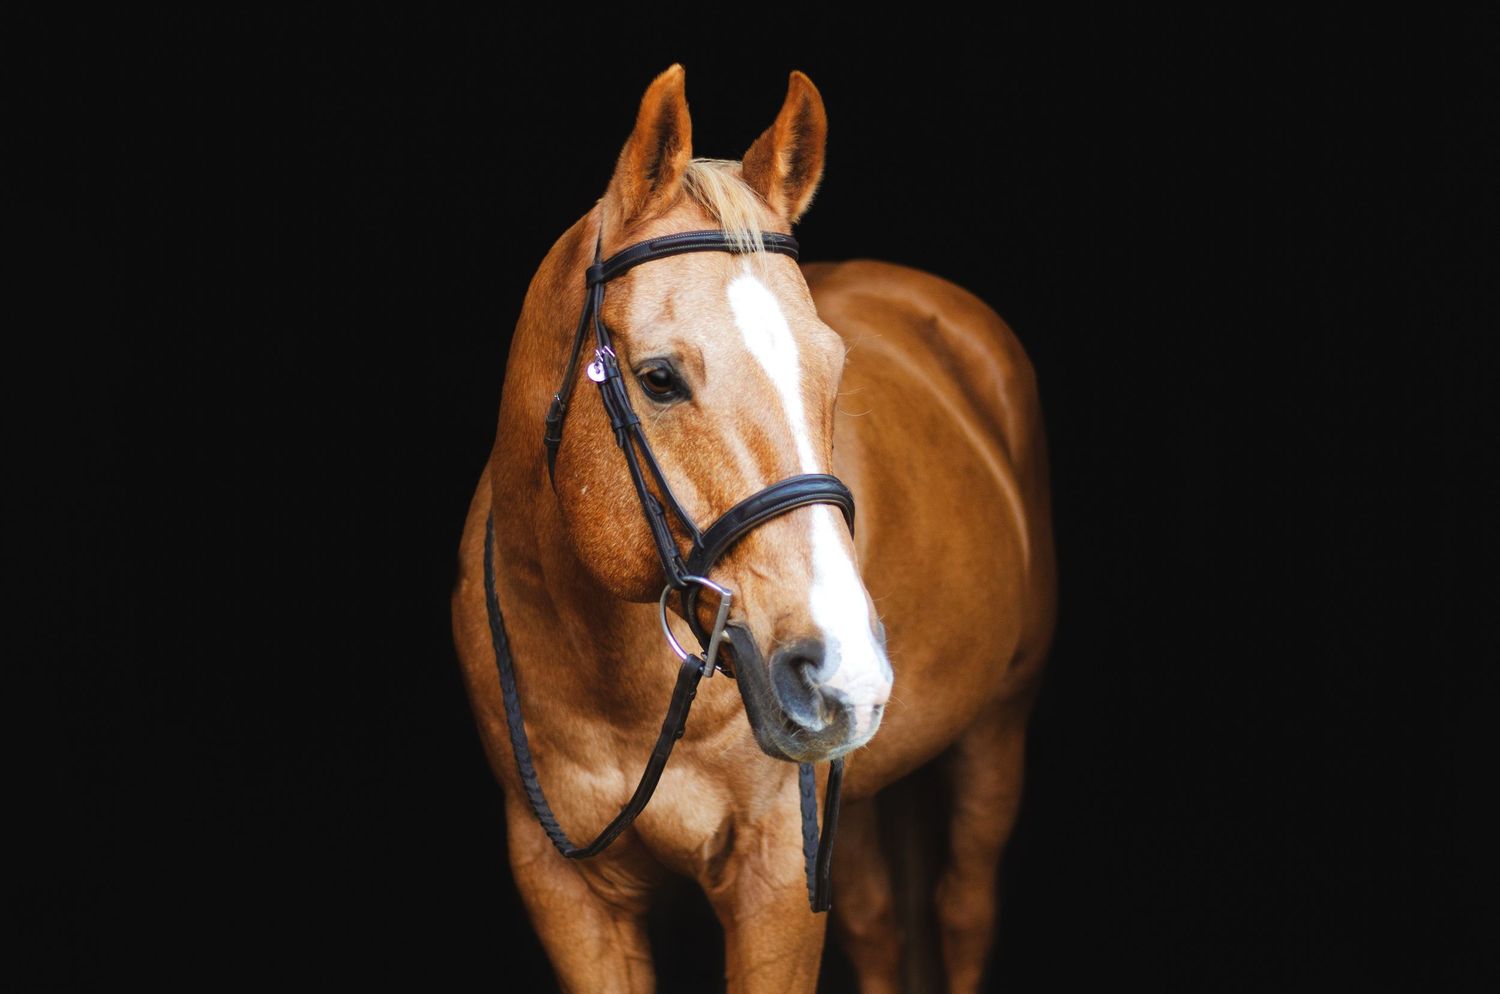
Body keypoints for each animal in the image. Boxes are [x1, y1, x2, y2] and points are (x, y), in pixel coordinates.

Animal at [450, 65, 1055, 993]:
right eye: (659, 378)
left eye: (833, 368)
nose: (842, 669)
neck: (607, 678)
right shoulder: (567, 889)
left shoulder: (774, 880)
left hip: (996, 731)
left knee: (961, 915)